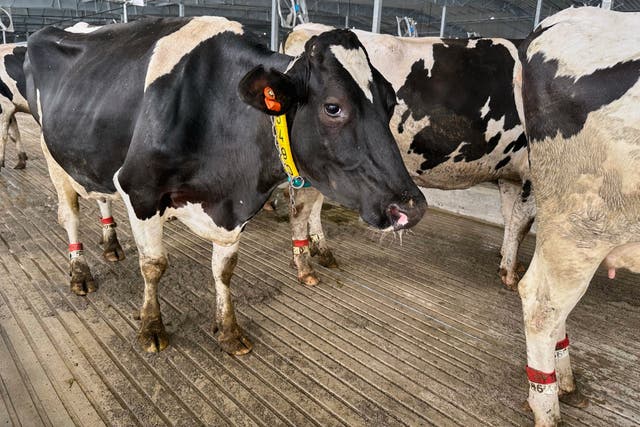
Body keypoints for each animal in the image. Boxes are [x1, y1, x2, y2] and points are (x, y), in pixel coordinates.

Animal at [24, 16, 427, 355]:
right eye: (333, 107)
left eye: (390, 103)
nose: (410, 207)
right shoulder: (139, 188)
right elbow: (154, 265)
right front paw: (152, 327)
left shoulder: (234, 209)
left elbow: (224, 270)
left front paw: (229, 329)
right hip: (53, 156)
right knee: (70, 215)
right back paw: (80, 273)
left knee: (99, 197)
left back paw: (111, 246)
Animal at [284, 24, 534, 289]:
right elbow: (521, 223)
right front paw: (510, 273)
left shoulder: (510, 175)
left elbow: (509, 216)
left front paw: (506, 257)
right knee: (305, 207)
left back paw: (319, 250)